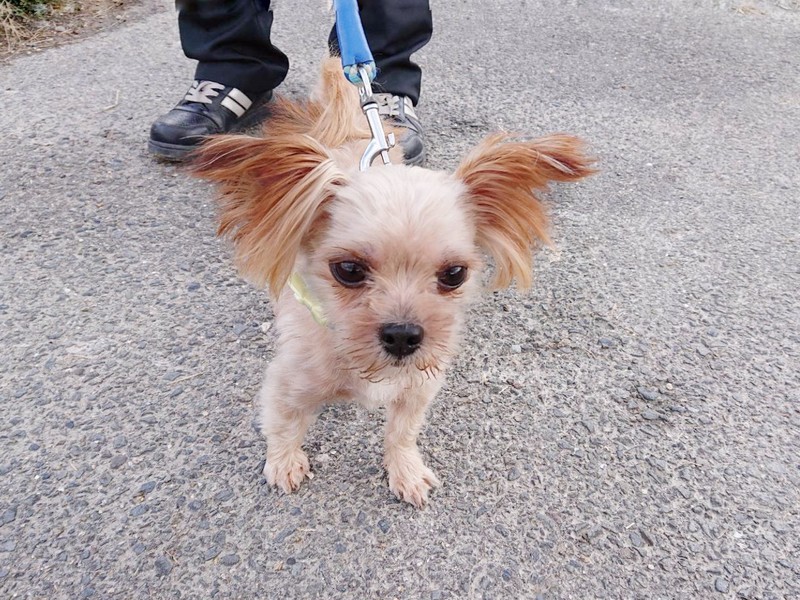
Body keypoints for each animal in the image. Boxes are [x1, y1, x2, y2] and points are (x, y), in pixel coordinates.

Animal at [191, 57, 595, 507]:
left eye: (454, 274)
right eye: (348, 270)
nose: (403, 335)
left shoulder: (420, 385)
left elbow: (401, 433)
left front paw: (405, 469)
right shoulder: (288, 384)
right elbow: (282, 426)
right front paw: (283, 461)